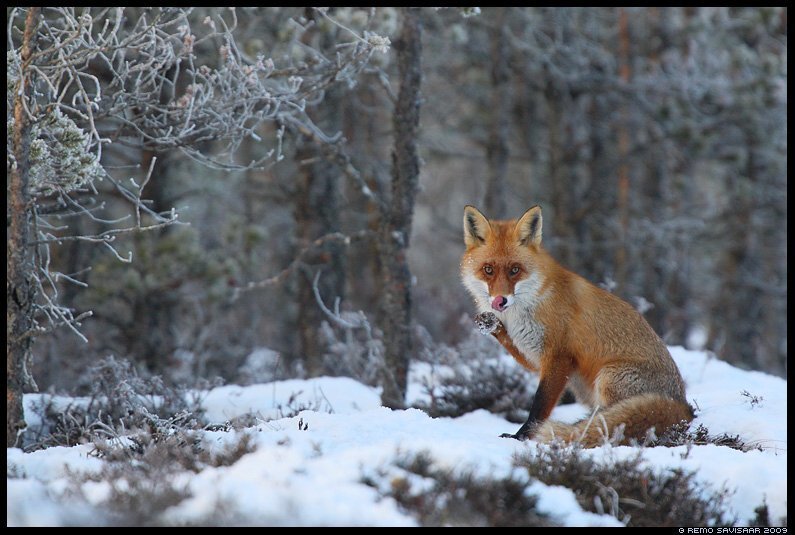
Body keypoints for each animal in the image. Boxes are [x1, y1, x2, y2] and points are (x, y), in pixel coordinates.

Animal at [464, 205, 692, 448]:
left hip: (608, 377)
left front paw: (522, 436)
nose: (500, 301)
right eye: (488, 269)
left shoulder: (559, 356)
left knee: (613, 420)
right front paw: (490, 325)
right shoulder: (535, 355)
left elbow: (540, 405)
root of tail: (685, 407)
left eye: (515, 270)